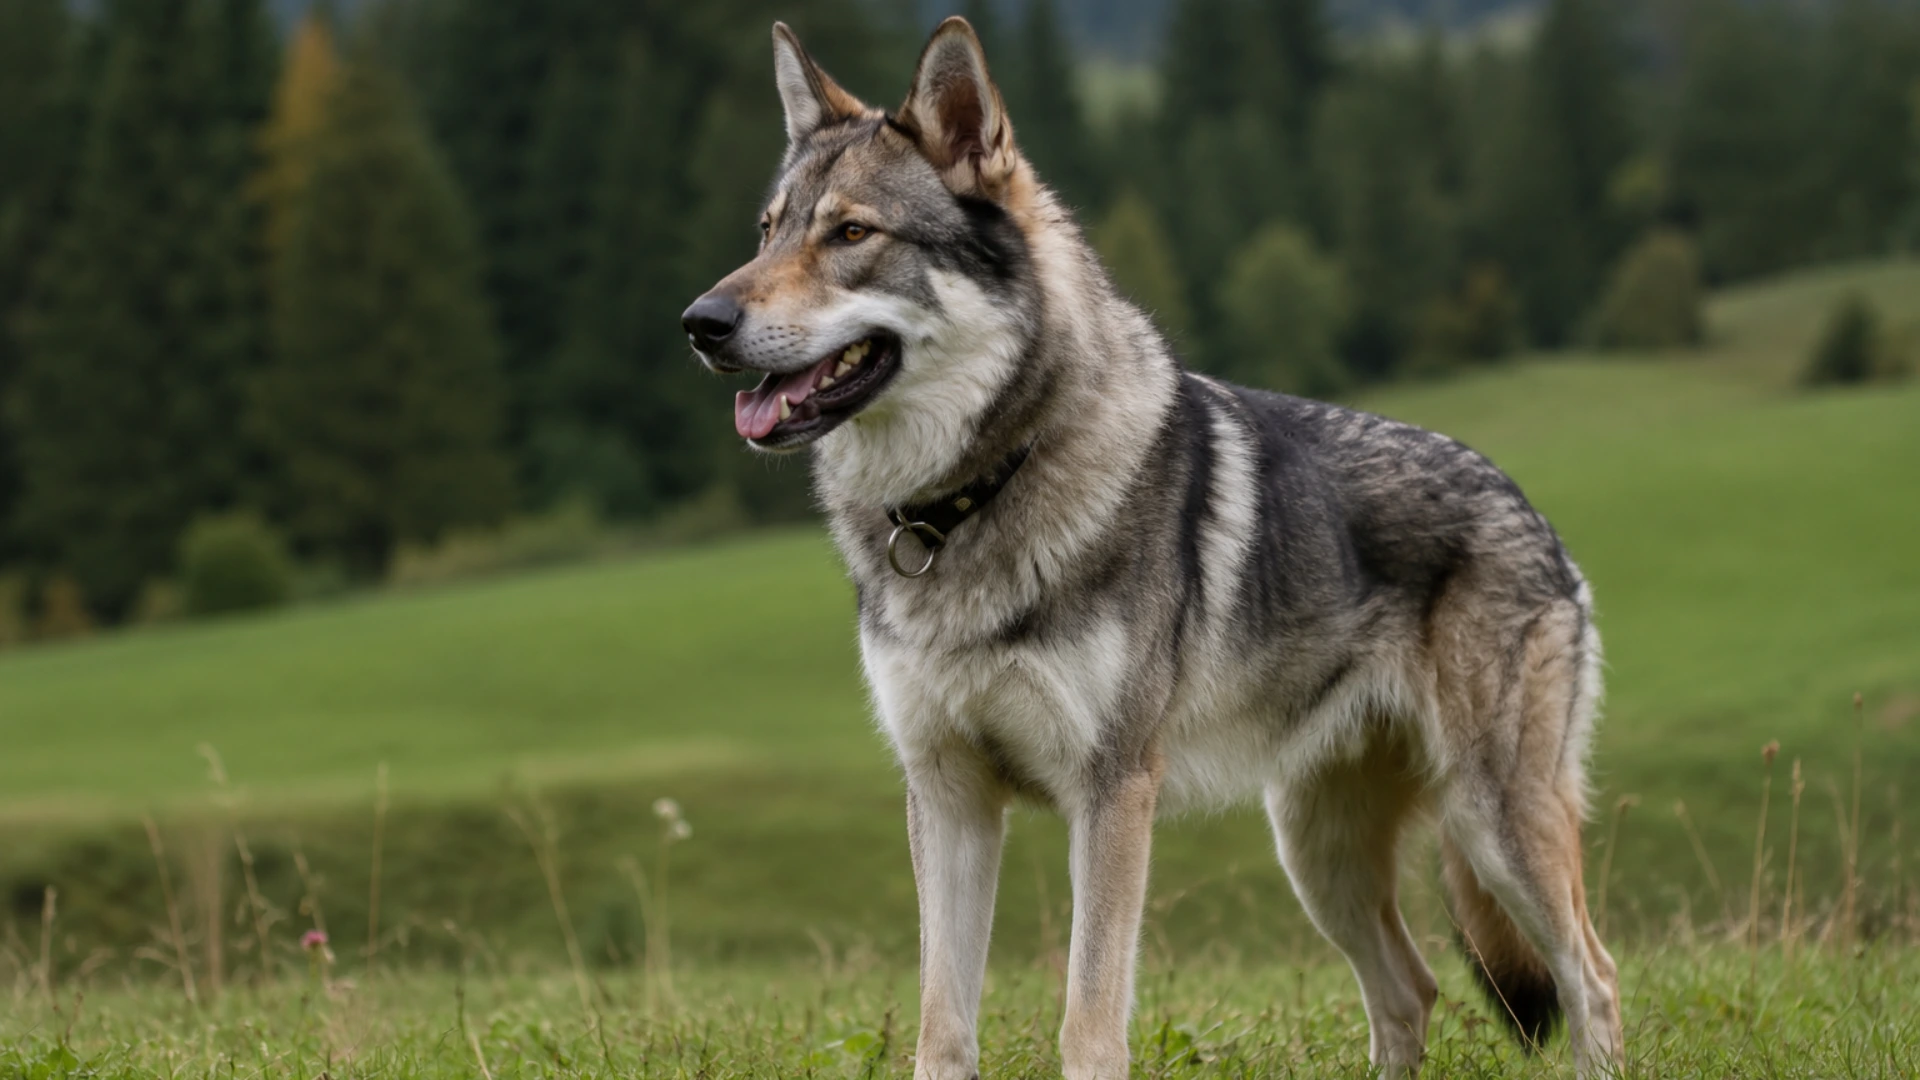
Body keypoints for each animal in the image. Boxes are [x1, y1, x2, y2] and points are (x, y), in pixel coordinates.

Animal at [680, 18, 1624, 1079]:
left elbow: (1089, 1024)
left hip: (1492, 826)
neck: (965, 505)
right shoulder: (947, 796)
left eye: (850, 234)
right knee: (1410, 990)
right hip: (1318, 856)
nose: (701, 323)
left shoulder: (1113, 795)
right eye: (766, 231)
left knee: (1593, 977)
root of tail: (1530, 509)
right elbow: (941, 1028)